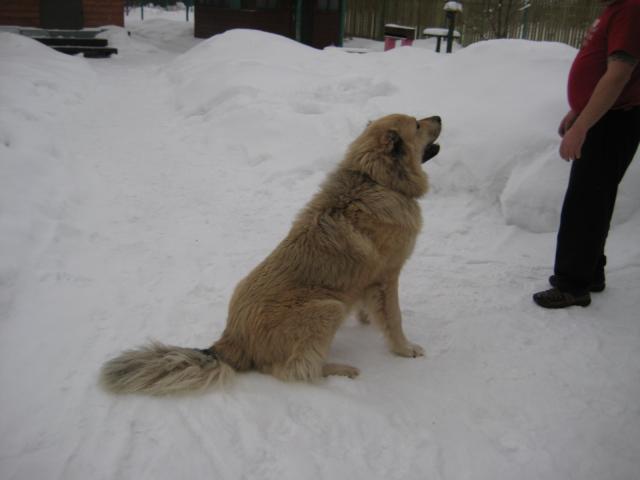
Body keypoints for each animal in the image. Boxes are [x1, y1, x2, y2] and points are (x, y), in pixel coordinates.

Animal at [100, 113, 442, 394]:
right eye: (416, 124)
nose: (438, 117)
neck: (374, 180)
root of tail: (230, 341)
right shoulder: (388, 276)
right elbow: (395, 319)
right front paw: (405, 349)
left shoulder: (370, 280)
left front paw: (366, 319)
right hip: (327, 308)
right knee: (294, 370)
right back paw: (338, 369)